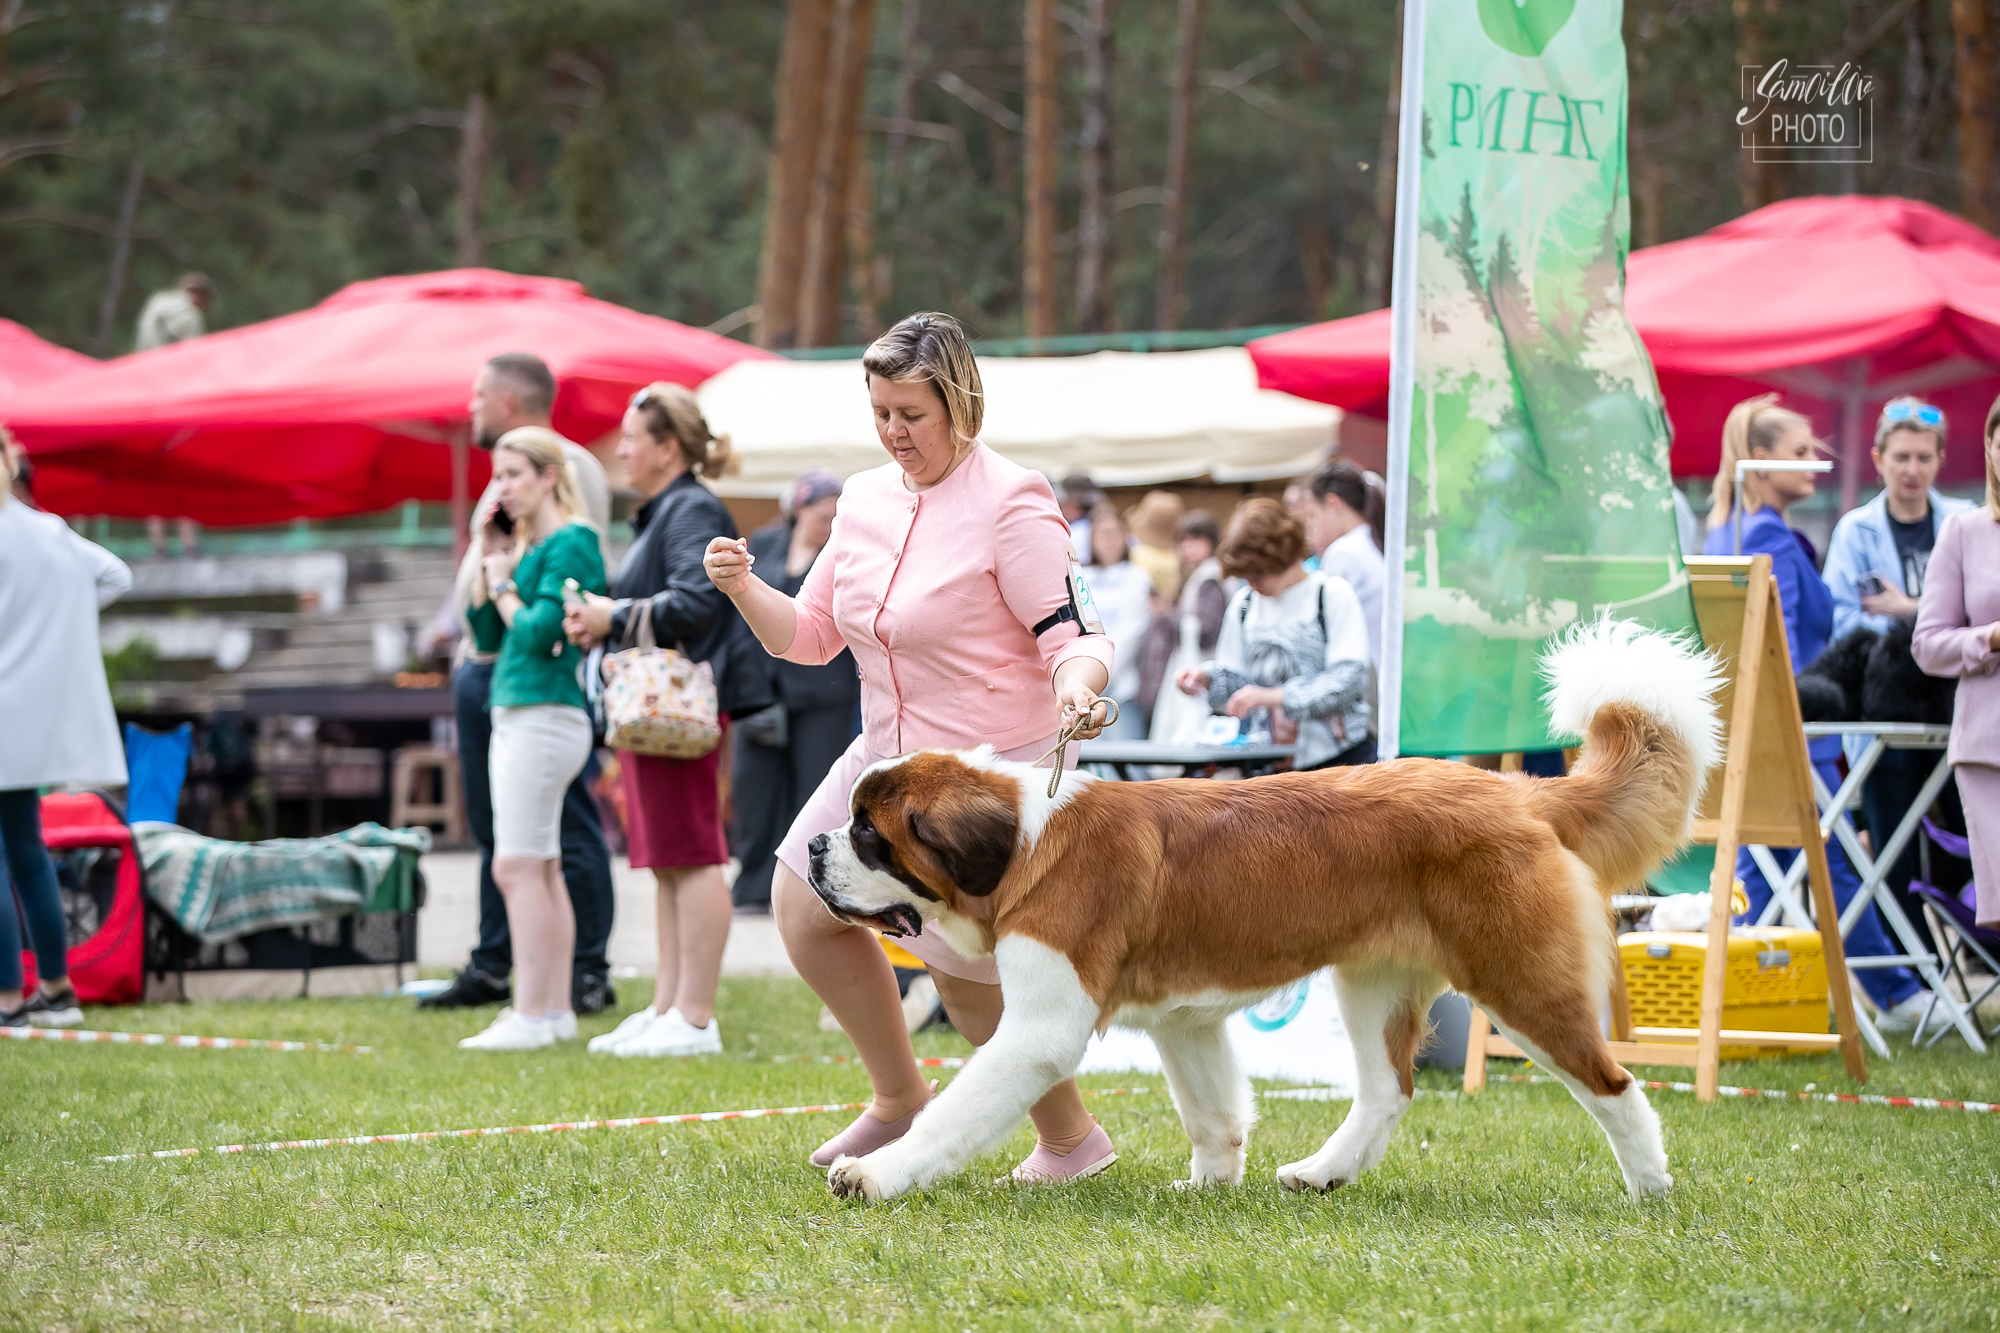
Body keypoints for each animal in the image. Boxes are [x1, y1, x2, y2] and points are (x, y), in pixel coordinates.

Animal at [806, 620, 1722, 1204]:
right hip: (1374, 980)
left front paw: (875, 1173)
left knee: (1615, 1083)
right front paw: (1209, 1182)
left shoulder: (1039, 1029)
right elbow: (1211, 1108)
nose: (813, 847)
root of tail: (1520, 790)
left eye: (870, 834)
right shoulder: (1184, 1020)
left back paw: (1649, 1186)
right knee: (1387, 1090)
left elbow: (955, 1108)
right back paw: (1322, 1172)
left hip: (1519, 977)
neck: (1028, 839)